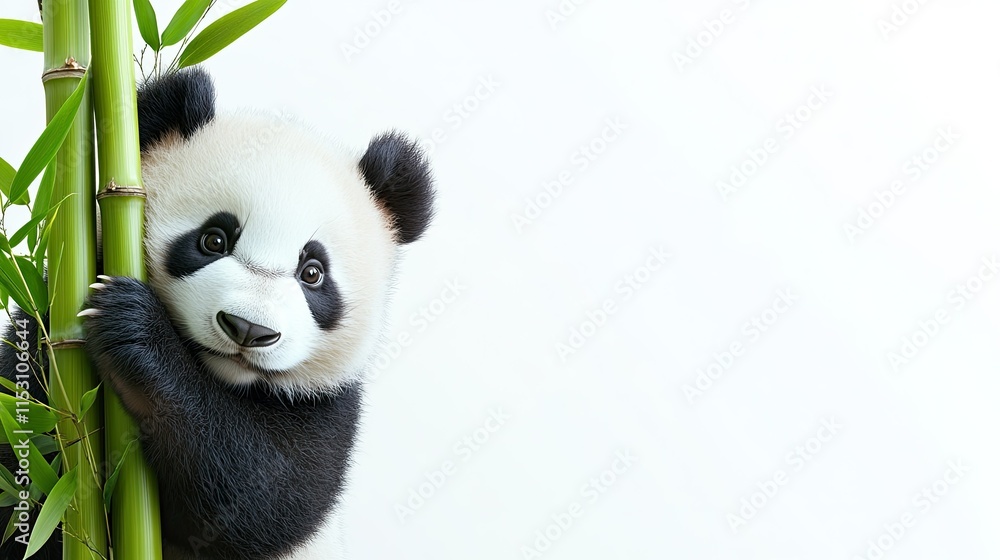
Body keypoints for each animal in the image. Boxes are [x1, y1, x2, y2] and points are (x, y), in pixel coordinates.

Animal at [0, 68, 434, 559]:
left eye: (313, 272)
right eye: (214, 240)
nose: (248, 329)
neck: (220, 379)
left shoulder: (327, 407)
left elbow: (259, 493)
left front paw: (135, 329)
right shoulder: (39, 333)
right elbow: (29, 466)